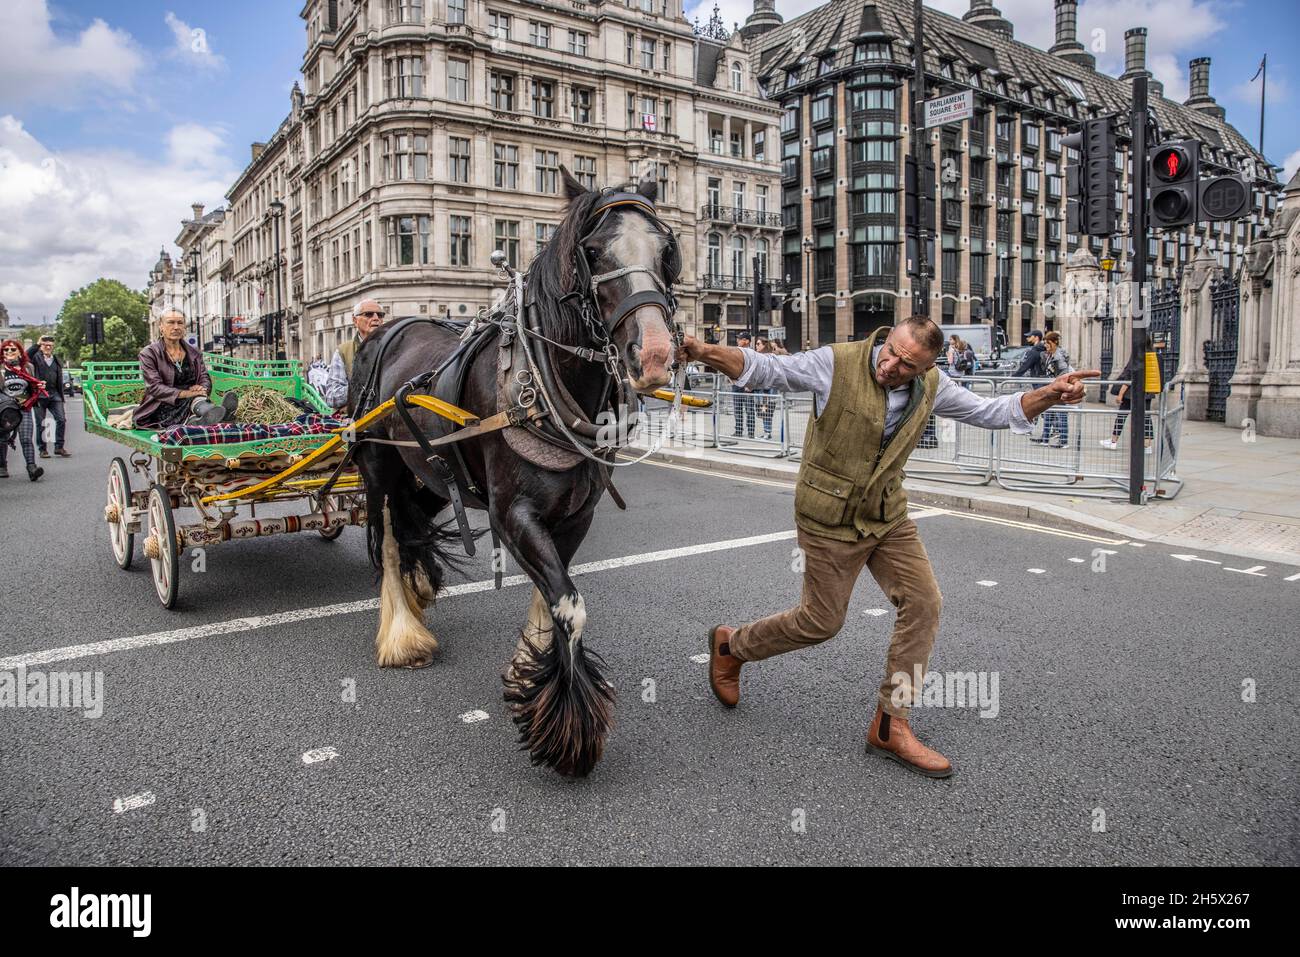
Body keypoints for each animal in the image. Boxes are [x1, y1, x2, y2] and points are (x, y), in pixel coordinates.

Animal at [356, 166, 681, 780]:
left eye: (667, 249)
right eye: (592, 252)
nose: (653, 357)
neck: (543, 381)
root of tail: (386, 327)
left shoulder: (575, 514)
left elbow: (551, 597)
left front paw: (528, 671)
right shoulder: (512, 513)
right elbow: (570, 606)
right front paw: (568, 734)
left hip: (430, 476)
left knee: (412, 530)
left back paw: (418, 589)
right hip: (378, 469)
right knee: (387, 539)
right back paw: (403, 635)